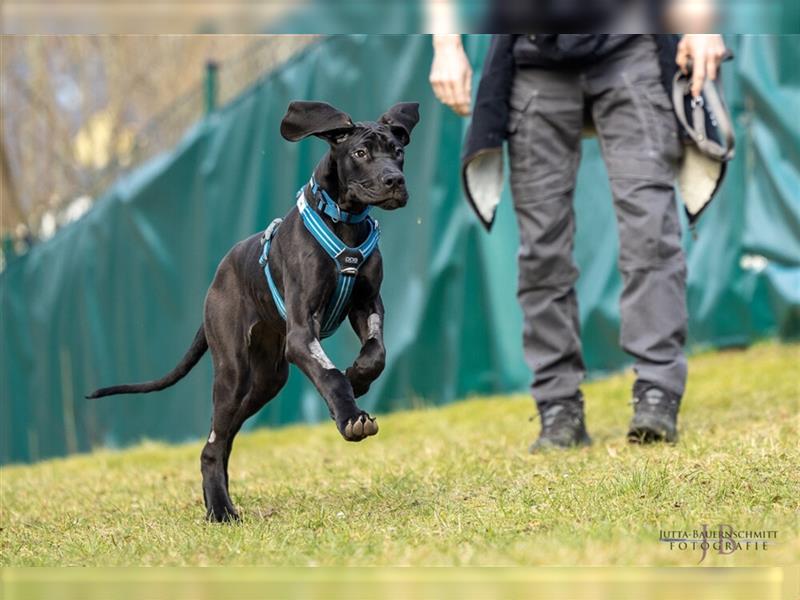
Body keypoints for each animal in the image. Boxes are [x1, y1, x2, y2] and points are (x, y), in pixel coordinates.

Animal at [89, 99, 418, 520]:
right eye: (360, 153)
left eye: (398, 151)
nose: (395, 180)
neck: (343, 221)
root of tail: (214, 282)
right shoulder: (301, 334)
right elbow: (329, 376)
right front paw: (350, 417)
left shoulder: (367, 303)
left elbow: (377, 351)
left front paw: (360, 377)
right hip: (232, 372)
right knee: (214, 443)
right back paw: (219, 511)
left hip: (266, 380)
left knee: (223, 439)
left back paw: (221, 502)